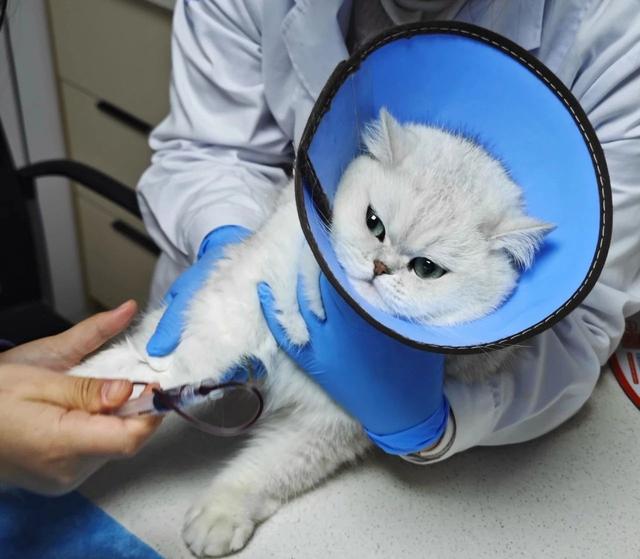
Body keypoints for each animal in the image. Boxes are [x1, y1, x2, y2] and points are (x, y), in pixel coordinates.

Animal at [70, 108, 553, 557]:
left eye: (426, 269)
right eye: (374, 223)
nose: (380, 267)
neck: (334, 321)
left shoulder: (329, 424)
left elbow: (266, 470)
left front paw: (220, 515)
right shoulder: (237, 299)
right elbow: (176, 358)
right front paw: (100, 389)